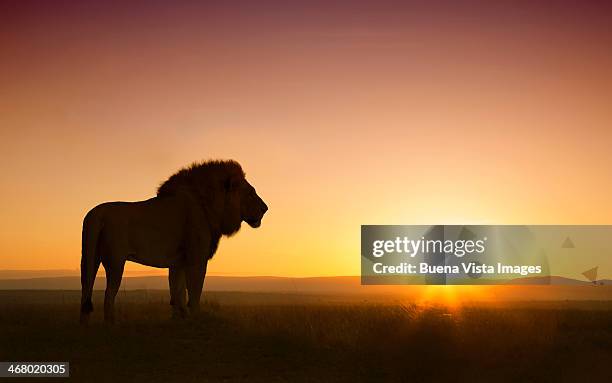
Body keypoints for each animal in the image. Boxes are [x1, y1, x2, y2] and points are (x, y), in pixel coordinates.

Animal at [78, 160, 266, 324]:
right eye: (251, 193)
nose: (266, 208)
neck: (209, 205)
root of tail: (95, 214)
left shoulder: (178, 262)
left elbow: (177, 292)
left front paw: (179, 319)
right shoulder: (196, 259)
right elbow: (194, 291)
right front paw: (196, 318)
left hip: (90, 260)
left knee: (85, 290)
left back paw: (84, 325)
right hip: (115, 262)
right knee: (108, 295)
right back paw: (111, 324)